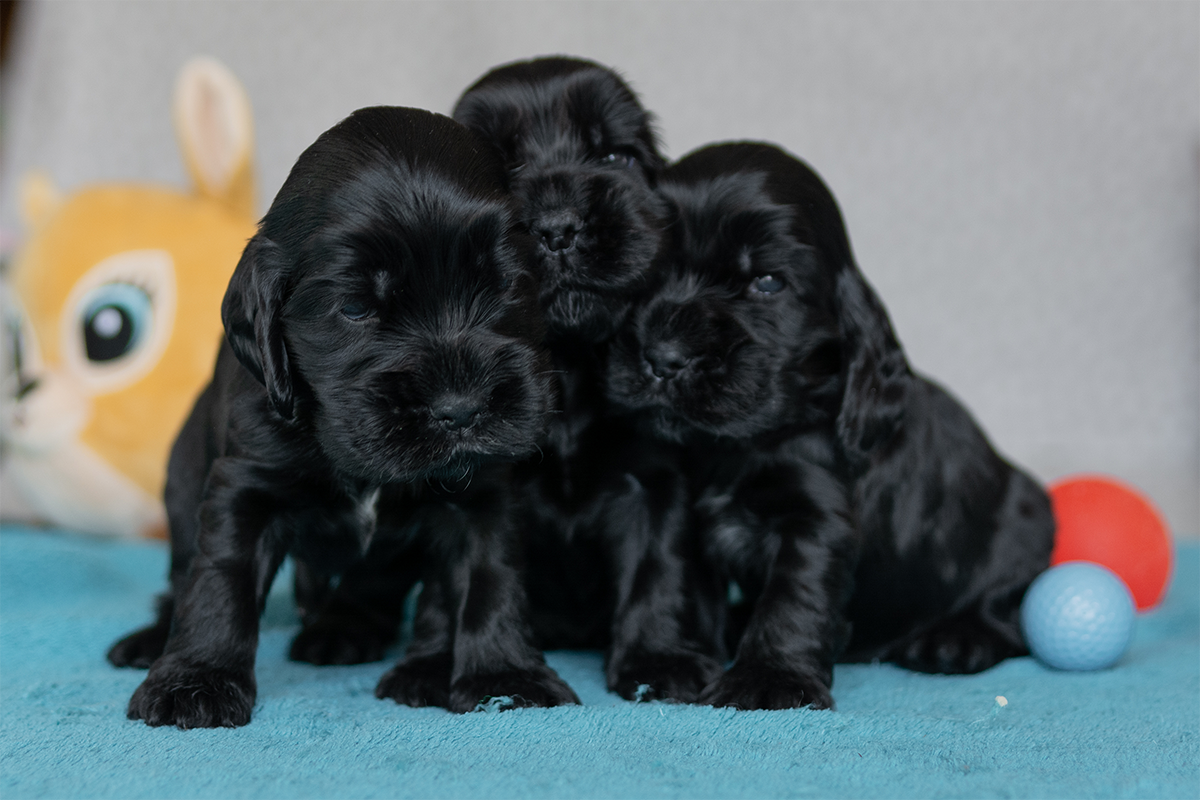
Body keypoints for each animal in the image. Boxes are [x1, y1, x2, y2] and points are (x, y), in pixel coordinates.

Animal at [106, 106, 578, 727]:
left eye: (505, 285)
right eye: (354, 308)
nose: (462, 410)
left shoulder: (484, 491)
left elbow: (488, 577)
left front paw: (505, 677)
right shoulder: (245, 483)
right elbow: (220, 578)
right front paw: (195, 680)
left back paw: (349, 633)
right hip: (182, 489)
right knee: (181, 574)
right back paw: (150, 640)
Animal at [452, 57, 726, 701]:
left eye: (615, 157)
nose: (557, 228)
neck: (568, 362)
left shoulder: (653, 476)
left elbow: (656, 565)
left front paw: (656, 659)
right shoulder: (489, 479)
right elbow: (488, 571)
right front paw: (502, 675)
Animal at [605, 142, 1055, 709]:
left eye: (767, 282)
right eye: (648, 270)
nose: (664, 358)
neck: (730, 447)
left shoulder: (816, 515)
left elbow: (794, 595)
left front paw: (767, 680)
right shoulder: (671, 497)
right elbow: (664, 574)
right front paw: (661, 662)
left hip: (1024, 523)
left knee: (1010, 605)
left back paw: (956, 640)